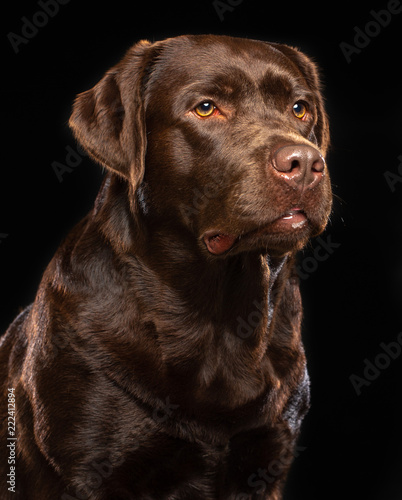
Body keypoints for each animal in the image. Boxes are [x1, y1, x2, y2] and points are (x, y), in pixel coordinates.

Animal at [0, 33, 332, 498]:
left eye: (300, 108)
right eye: (206, 108)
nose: (304, 163)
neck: (217, 318)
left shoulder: (267, 466)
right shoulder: (88, 472)